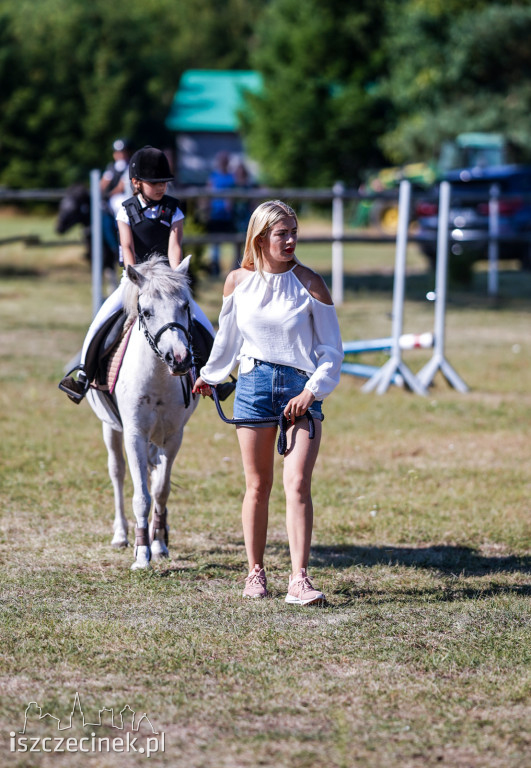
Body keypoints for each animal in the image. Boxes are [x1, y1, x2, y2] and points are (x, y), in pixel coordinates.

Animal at [87, 255, 200, 568]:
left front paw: (158, 543)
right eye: (146, 312)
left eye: (185, 306)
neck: (159, 377)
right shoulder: (134, 434)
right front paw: (141, 554)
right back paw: (121, 535)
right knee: (117, 472)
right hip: (111, 429)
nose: (180, 359)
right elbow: (141, 496)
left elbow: (160, 491)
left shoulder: (173, 437)